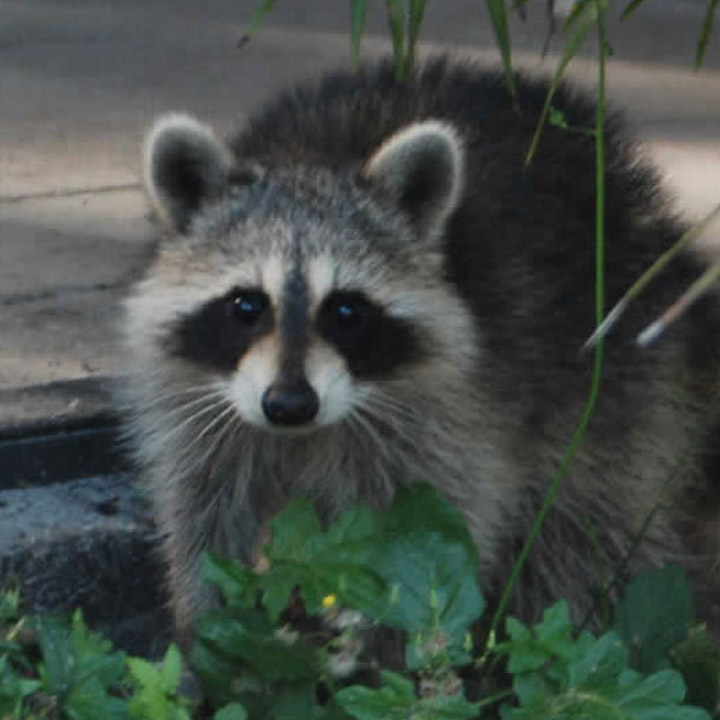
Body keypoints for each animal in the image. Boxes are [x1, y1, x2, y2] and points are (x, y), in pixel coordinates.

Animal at [121, 57, 720, 640]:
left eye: (346, 311)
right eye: (246, 306)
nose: (289, 405)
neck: (308, 159)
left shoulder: (459, 414)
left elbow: (439, 535)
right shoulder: (194, 413)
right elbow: (203, 524)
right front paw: (203, 639)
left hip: (617, 384)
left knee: (584, 537)